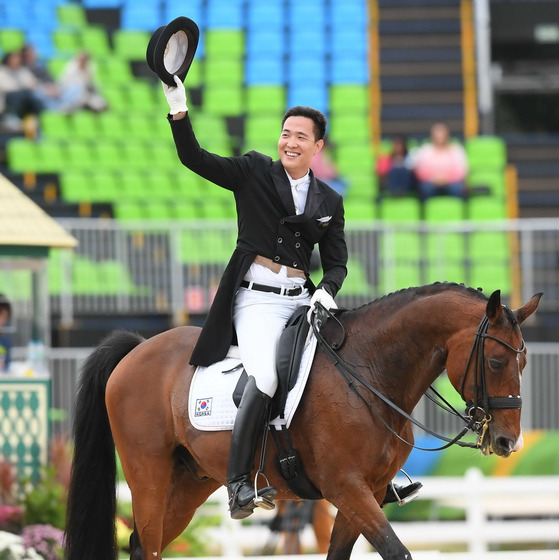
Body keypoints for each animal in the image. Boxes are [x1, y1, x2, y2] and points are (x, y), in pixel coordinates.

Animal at [64, 284, 544, 560]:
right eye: (496, 361)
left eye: (524, 363)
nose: (508, 443)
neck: (370, 371)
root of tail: (139, 348)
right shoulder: (345, 486)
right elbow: (398, 552)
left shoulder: (366, 492)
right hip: (149, 476)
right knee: (147, 546)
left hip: (188, 485)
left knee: (144, 544)